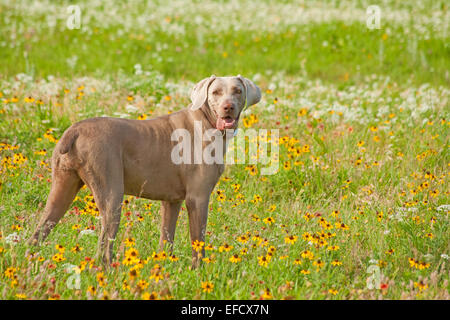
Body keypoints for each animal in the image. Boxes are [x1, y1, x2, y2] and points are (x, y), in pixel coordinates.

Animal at [29, 75, 262, 268]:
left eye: (237, 91)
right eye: (215, 92)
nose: (228, 107)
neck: (206, 122)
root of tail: (74, 130)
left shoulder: (172, 201)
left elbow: (166, 237)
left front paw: (164, 267)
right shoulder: (198, 198)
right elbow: (199, 241)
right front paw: (199, 272)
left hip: (62, 187)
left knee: (39, 231)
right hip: (111, 193)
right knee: (104, 245)